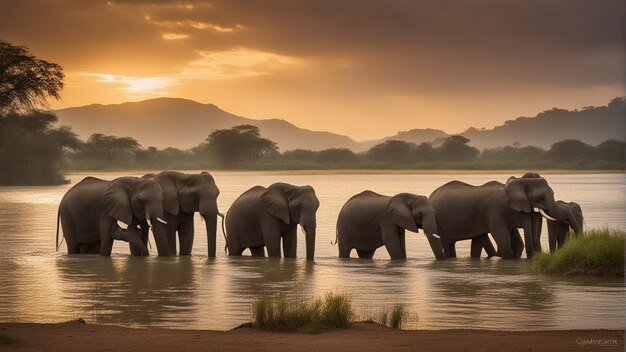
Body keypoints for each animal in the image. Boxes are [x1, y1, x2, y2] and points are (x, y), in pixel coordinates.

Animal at [426, 177, 560, 258]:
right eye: (540, 197)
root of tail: (432, 195)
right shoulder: (496, 211)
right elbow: (504, 241)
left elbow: (518, 243)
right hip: (438, 221)